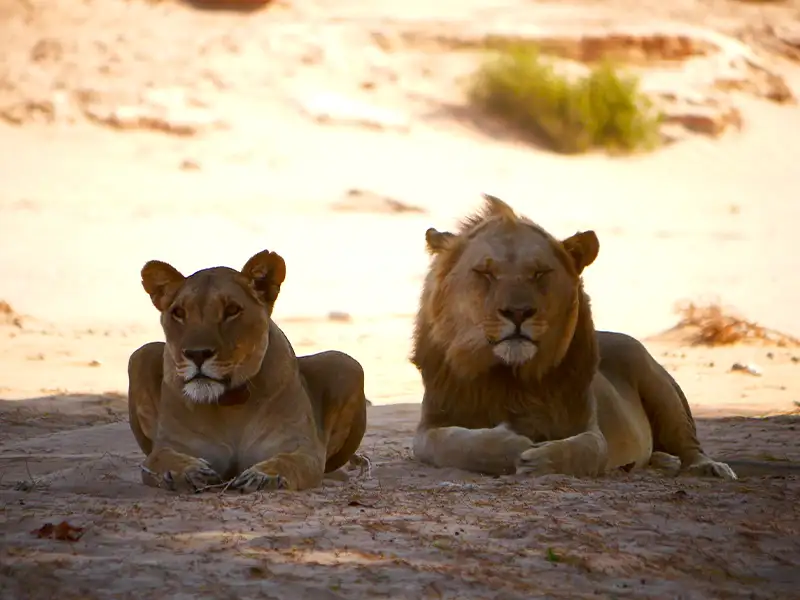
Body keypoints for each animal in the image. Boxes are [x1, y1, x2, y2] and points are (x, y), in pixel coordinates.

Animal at [127, 249, 370, 492]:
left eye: (232, 310)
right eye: (178, 313)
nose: (197, 354)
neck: (230, 404)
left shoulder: (303, 448)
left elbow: (288, 461)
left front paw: (264, 476)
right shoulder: (168, 447)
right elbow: (162, 459)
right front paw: (187, 473)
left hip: (346, 362)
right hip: (141, 354)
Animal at [411, 194, 792, 480]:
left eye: (540, 273)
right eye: (485, 273)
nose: (518, 313)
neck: (510, 378)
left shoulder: (587, 424)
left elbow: (590, 449)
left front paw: (541, 458)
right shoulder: (430, 427)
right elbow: (460, 444)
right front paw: (514, 447)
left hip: (659, 387)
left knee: (689, 446)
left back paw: (707, 468)